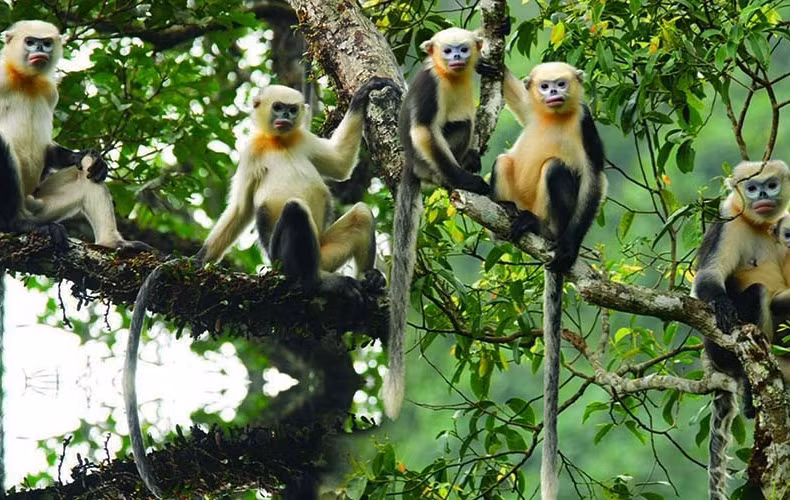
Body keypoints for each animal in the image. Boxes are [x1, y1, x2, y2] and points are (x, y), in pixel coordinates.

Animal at [0, 20, 149, 250]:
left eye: (46, 43)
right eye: (30, 42)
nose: (40, 48)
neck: (25, 79)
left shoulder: (51, 92)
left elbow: (51, 149)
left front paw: (84, 156)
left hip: (38, 205)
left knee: (87, 172)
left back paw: (114, 243)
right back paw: (15, 224)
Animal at [124, 78, 396, 498]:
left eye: (291, 109)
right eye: (277, 108)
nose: (284, 117)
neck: (279, 143)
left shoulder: (302, 139)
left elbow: (338, 165)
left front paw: (364, 94)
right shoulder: (251, 152)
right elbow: (239, 210)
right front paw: (197, 261)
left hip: (327, 249)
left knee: (362, 213)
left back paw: (370, 280)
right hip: (287, 256)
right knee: (295, 212)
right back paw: (319, 283)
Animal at [383, 27, 491, 420]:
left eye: (462, 49)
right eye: (447, 51)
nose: (458, 57)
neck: (451, 77)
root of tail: (411, 167)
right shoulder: (430, 88)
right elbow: (424, 130)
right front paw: (465, 180)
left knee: (468, 120)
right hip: (427, 161)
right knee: (452, 128)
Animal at [488, 62, 606, 500]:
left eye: (561, 84)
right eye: (544, 86)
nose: (554, 93)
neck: (555, 117)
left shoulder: (587, 124)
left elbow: (595, 179)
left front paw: (571, 250)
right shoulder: (532, 110)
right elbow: (522, 110)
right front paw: (490, 65)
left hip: (552, 211)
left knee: (556, 170)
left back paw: (546, 233)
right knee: (503, 161)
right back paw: (509, 218)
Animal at [691, 160, 790, 500]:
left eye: (771, 185)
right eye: (751, 187)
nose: (762, 195)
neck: (760, 226)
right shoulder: (727, 223)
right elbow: (707, 278)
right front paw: (723, 305)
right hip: (720, 350)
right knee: (759, 294)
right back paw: (748, 382)